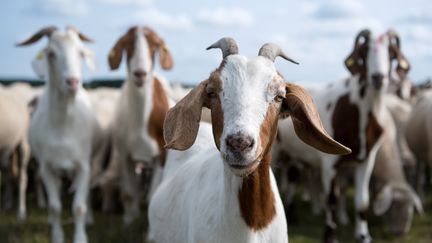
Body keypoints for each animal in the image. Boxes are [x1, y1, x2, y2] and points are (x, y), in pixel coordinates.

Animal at [16, 26, 101, 243]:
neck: (64, 126)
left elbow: (79, 206)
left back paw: (90, 218)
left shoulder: (83, 166)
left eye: (80, 53)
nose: (73, 82)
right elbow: (55, 207)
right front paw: (57, 235)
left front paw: (80, 237)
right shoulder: (47, 168)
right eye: (51, 54)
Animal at [94, 25, 174, 224]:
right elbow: (129, 193)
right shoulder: (125, 155)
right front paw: (129, 221)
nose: (140, 74)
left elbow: (153, 195)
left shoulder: (161, 156)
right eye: (127, 44)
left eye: (154, 44)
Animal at [276, 29, 410, 243]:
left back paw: (292, 213)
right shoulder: (329, 163)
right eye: (364, 51)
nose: (378, 77)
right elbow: (331, 199)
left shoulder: (366, 160)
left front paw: (364, 236)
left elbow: (362, 201)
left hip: (295, 154)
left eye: (391, 52)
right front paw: (330, 236)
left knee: (292, 177)